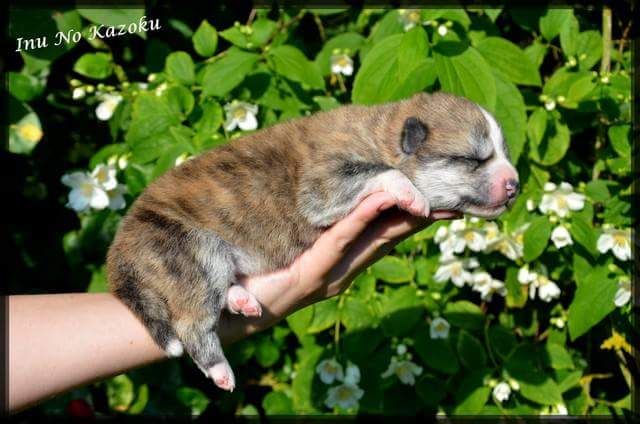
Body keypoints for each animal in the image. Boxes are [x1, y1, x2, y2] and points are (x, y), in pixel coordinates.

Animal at [106, 92, 519, 391]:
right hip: (191, 250)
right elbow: (384, 174)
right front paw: (411, 193)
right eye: (474, 159)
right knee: (192, 322)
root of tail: (119, 252)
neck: (379, 136)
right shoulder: (323, 184)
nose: (514, 183)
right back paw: (220, 370)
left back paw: (240, 299)